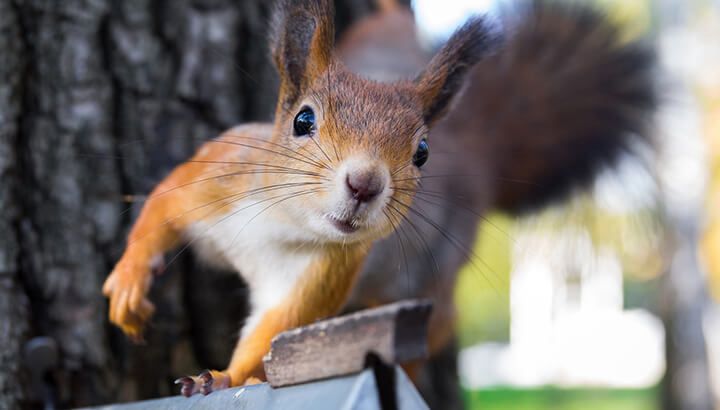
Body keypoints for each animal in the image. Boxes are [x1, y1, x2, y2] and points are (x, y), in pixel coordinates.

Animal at [101, 0, 498, 396]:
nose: (364, 184)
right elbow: (161, 206)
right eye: (302, 120)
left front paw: (223, 377)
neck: (280, 217)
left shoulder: (326, 271)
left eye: (422, 153)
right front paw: (130, 279)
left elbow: (275, 328)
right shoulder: (215, 177)